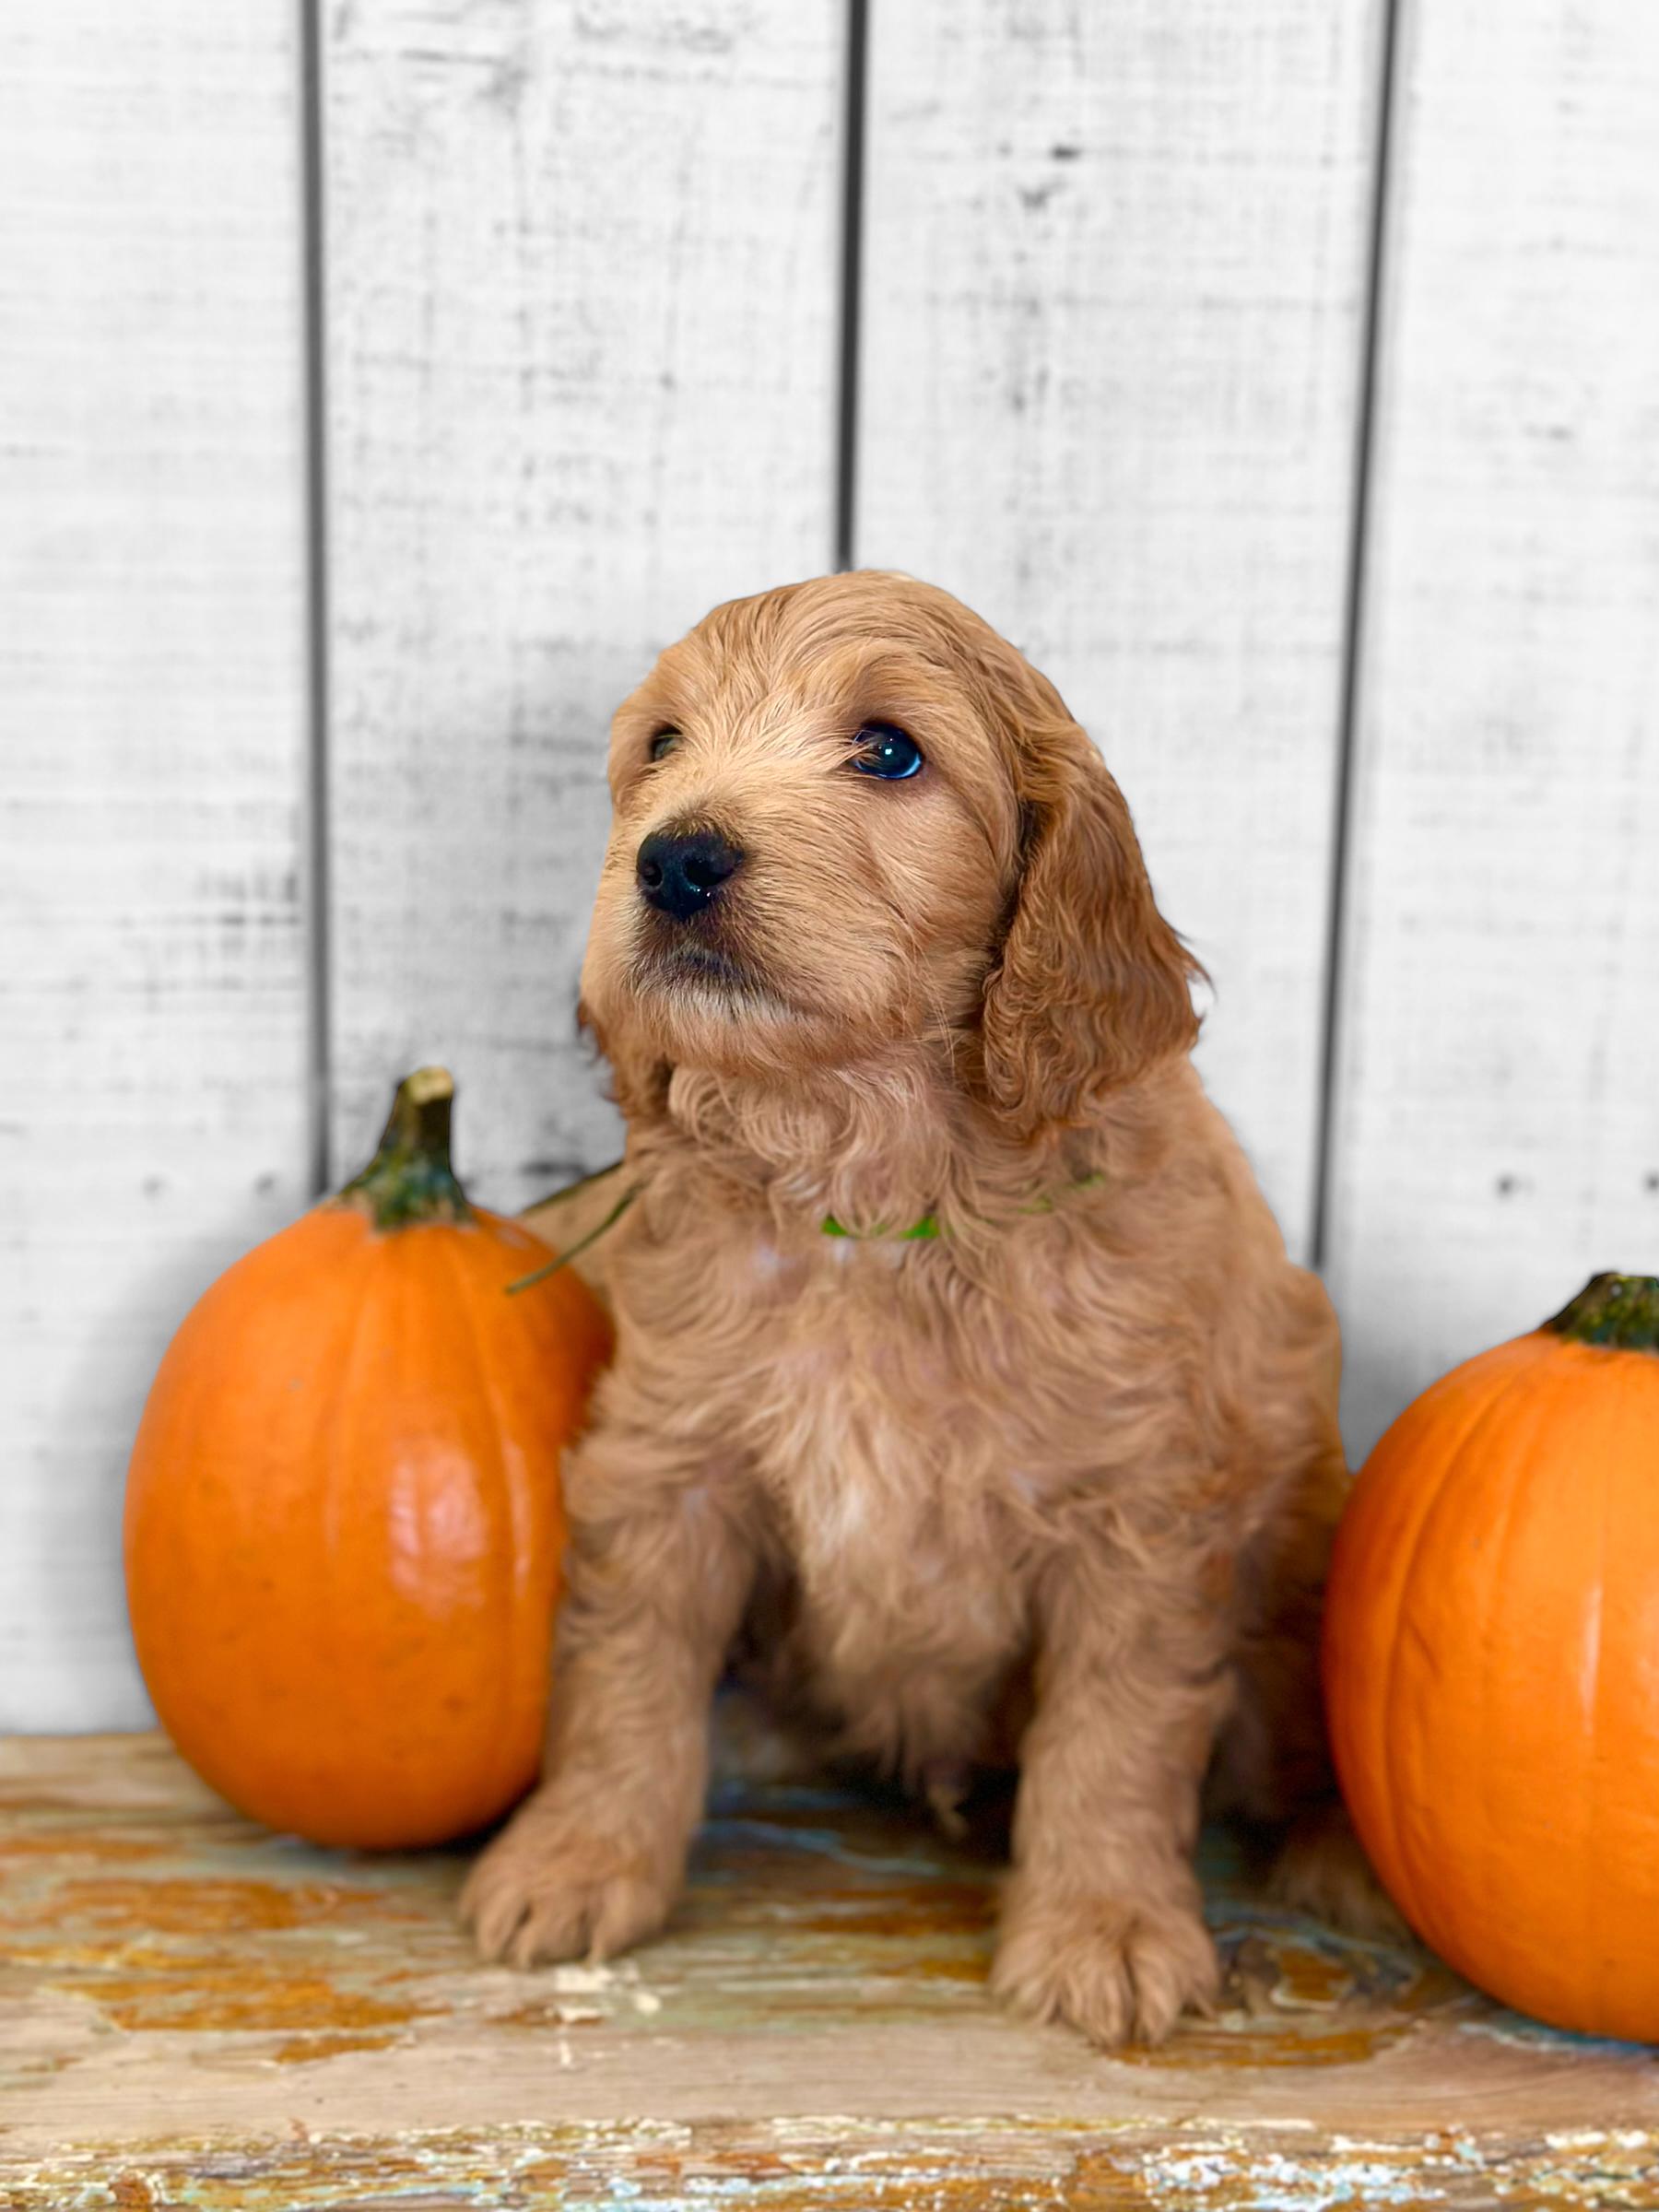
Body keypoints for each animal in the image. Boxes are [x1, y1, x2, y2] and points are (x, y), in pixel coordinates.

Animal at [460, 570, 1370, 2047]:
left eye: (889, 750)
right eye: (662, 747)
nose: (675, 860)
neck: (876, 1189)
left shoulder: (1139, 1518)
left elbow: (1112, 1737)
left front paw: (1104, 1929)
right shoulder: (670, 1463)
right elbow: (624, 1677)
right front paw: (577, 1860)